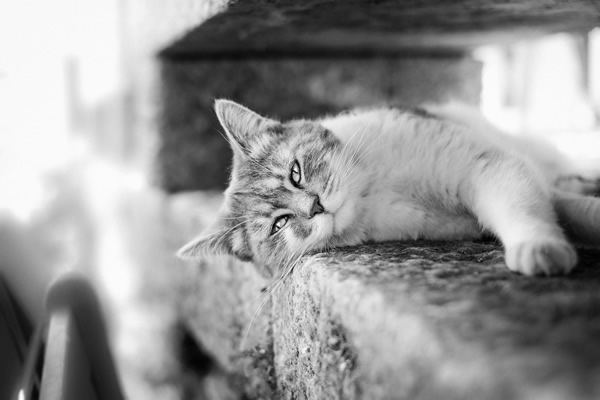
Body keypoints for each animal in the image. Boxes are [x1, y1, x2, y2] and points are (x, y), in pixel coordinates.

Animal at [178, 99, 600, 278]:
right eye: (279, 225)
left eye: (295, 173)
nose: (316, 208)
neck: (375, 188)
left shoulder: (491, 166)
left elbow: (528, 207)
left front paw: (540, 246)